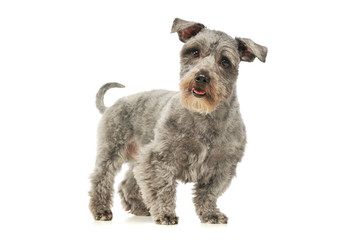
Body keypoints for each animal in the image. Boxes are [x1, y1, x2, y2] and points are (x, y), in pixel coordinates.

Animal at [88, 17, 266, 224]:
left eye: (225, 62)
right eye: (195, 52)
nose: (201, 77)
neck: (203, 116)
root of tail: (112, 106)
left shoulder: (222, 166)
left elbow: (209, 193)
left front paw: (210, 214)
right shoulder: (157, 158)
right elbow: (162, 187)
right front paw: (166, 214)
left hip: (136, 156)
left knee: (127, 182)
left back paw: (140, 207)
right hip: (111, 150)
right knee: (101, 178)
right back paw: (101, 209)